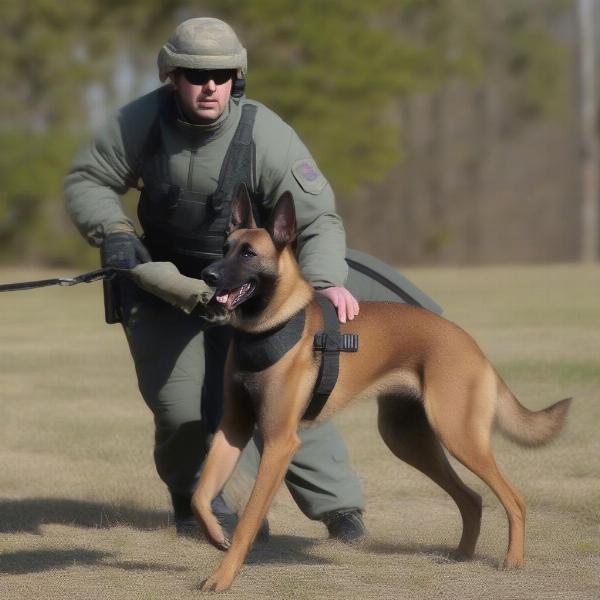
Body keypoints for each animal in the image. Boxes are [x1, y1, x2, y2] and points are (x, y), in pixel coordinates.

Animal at [192, 184, 572, 592]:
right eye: (225, 247)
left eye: (248, 253)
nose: (207, 274)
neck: (269, 325)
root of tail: (470, 344)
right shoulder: (233, 429)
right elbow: (201, 494)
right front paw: (215, 535)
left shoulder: (279, 442)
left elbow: (248, 519)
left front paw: (222, 577)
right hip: (409, 440)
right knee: (471, 498)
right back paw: (462, 556)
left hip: (458, 437)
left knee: (514, 499)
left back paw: (512, 560)